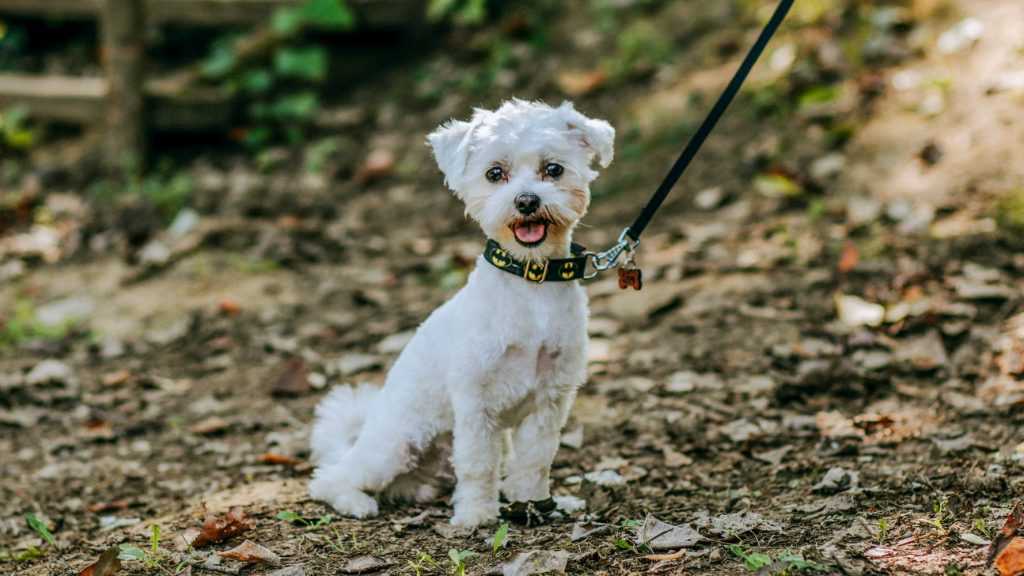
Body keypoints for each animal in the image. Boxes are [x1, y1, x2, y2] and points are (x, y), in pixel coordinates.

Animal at [309, 98, 614, 524]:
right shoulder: (475, 401)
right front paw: (476, 515)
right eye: (494, 173)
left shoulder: (550, 399)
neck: (530, 284)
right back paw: (355, 501)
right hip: (397, 442)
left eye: (553, 169)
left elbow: (535, 460)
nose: (526, 201)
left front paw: (534, 504)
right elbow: (478, 463)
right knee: (330, 477)